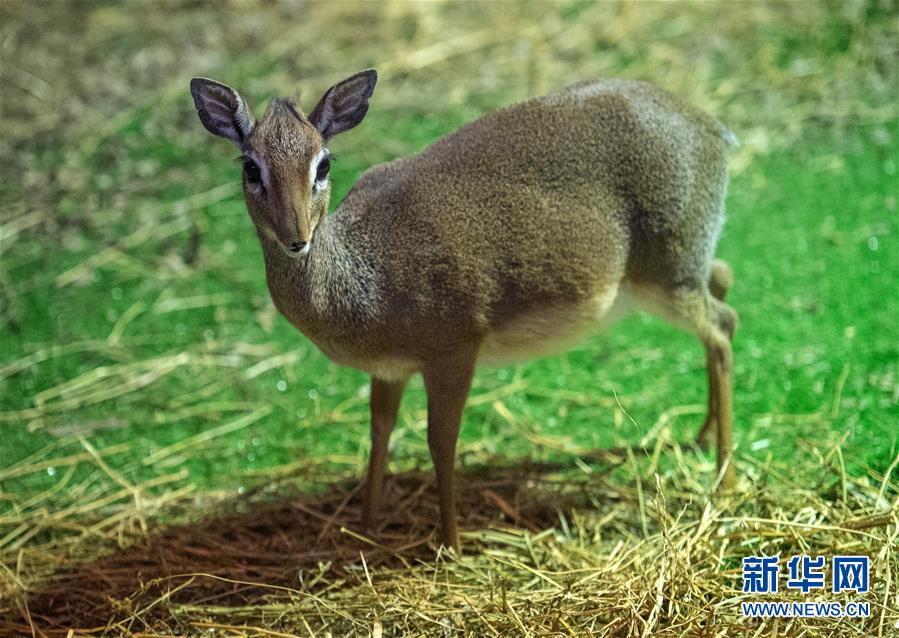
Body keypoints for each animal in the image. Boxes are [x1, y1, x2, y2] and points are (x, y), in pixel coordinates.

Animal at [188, 69, 740, 552]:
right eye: (250, 166)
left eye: (322, 164)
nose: (296, 237)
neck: (365, 282)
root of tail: (715, 129)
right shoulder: (390, 368)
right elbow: (379, 430)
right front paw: (365, 526)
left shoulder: (454, 350)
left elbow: (441, 442)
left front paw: (450, 543)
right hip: (682, 271)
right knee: (724, 288)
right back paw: (700, 438)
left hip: (668, 275)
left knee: (722, 326)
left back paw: (726, 478)